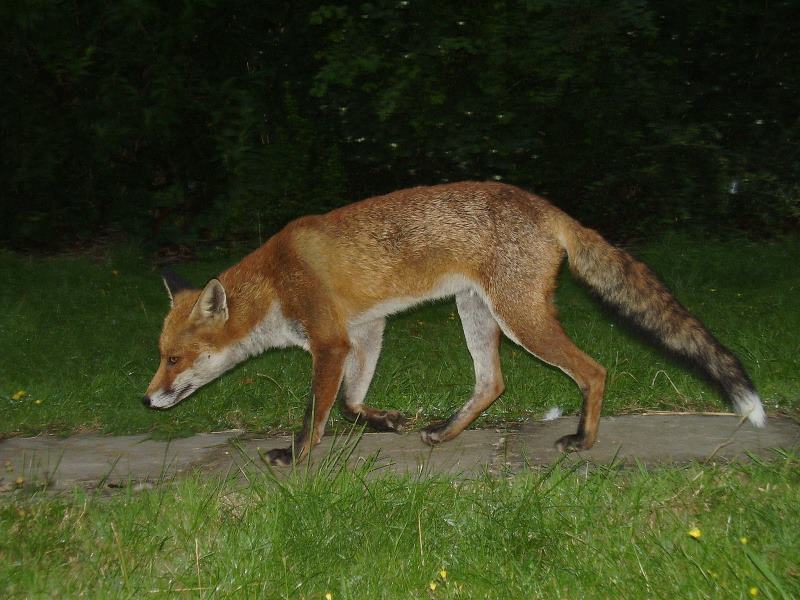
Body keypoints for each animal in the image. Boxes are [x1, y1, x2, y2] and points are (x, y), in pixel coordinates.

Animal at [143, 181, 766, 466]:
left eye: (174, 358)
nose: (147, 399)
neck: (275, 282)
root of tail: (545, 205)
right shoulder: (366, 331)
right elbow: (349, 401)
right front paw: (385, 421)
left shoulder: (330, 341)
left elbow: (317, 413)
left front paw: (294, 456)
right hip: (477, 313)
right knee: (492, 382)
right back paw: (445, 433)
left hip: (519, 318)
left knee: (593, 371)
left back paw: (583, 440)